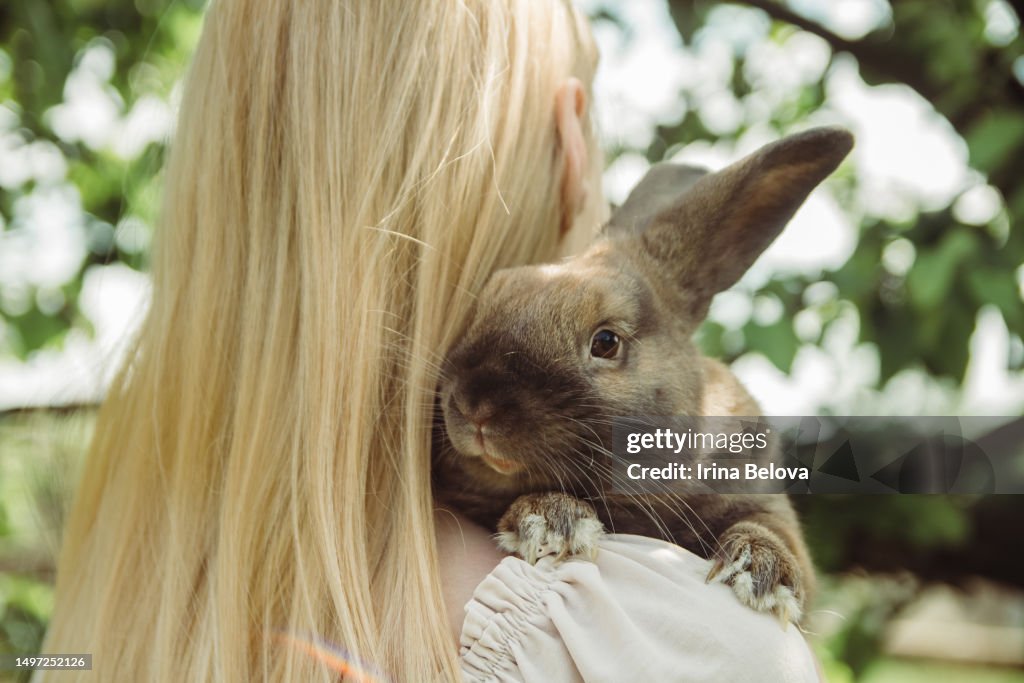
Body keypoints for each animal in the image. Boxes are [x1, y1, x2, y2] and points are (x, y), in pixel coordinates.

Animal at [432, 127, 854, 624]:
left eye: (606, 342)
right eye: (481, 308)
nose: (474, 406)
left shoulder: (762, 496)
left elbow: (775, 533)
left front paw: (761, 572)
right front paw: (551, 521)